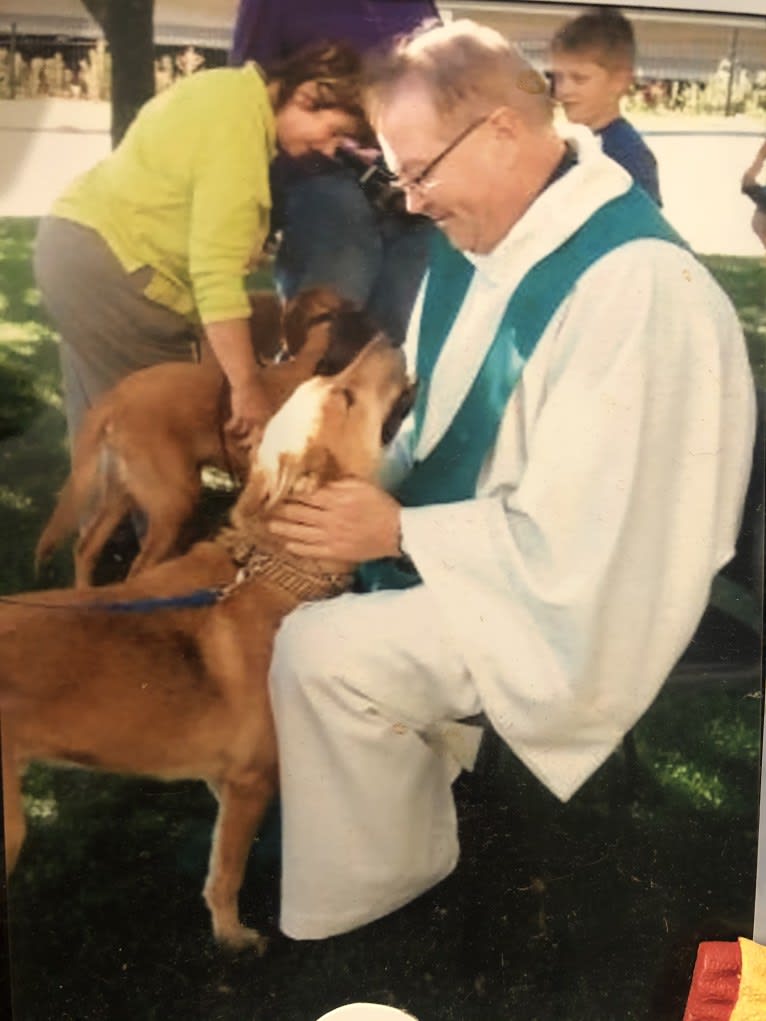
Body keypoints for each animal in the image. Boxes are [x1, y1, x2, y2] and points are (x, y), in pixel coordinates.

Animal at [0, 338, 416, 951]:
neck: (274, 570)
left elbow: (219, 855)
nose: (386, 338)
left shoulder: (224, 782)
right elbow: (228, 872)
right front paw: (232, 933)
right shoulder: (250, 784)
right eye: (342, 394)